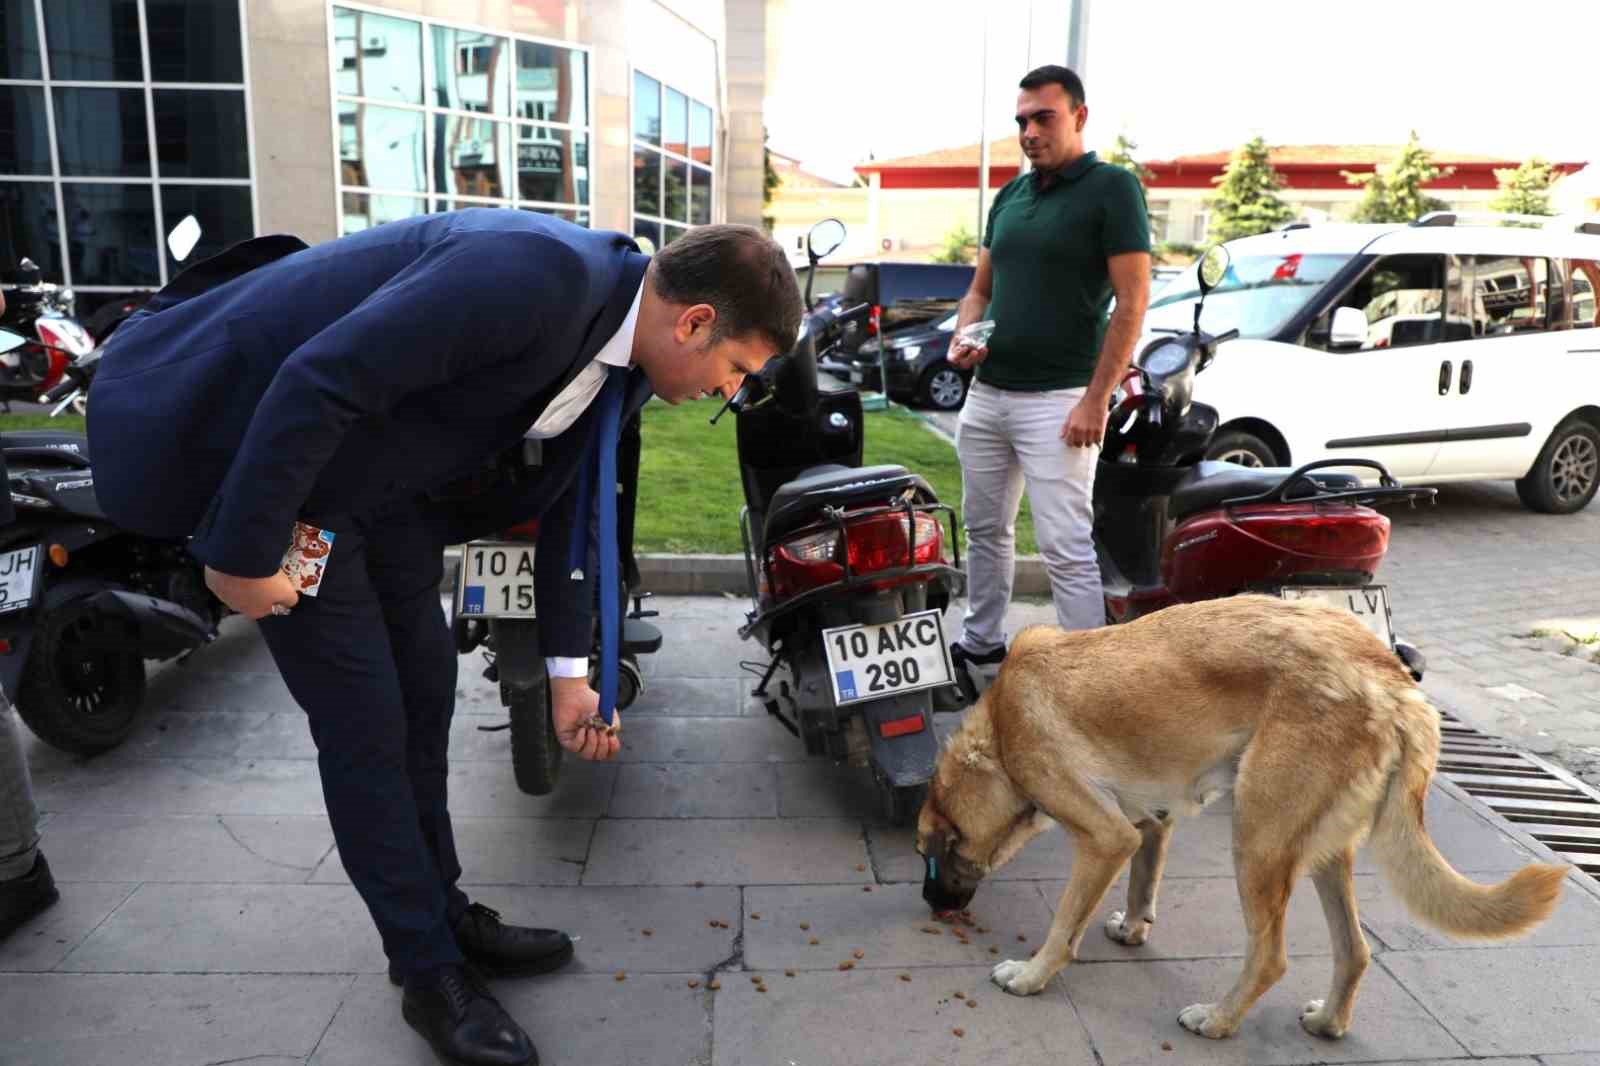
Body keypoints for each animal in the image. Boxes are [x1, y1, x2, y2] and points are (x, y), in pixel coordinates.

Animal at [921, 598, 1568, 1037]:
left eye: (931, 856)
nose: (931, 905)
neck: (1001, 728)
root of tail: (1393, 682)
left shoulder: (1106, 838)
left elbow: (1063, 927)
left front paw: (1032, 977)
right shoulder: (1150, 822)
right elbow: (1143, 881)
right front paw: (1133, 927)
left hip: (1256, 841)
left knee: (1270, 957)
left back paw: (1218, 1019)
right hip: (1319, 852)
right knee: (1355, 951)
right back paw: (1328, 1023)